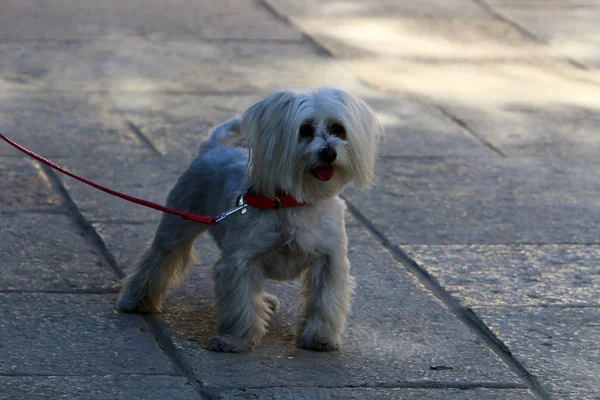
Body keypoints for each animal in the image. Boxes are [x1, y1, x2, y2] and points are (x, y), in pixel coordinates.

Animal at [117, 88, 382, 354]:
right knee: (157, 261)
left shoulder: (329, 261)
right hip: (177, 225)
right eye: (304, 129)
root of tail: (212, 147)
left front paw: (320, 337)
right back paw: (136, 300)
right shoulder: (240, 262)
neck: (294, 202)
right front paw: (236, 340)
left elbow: (324, 302)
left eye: (337, 128)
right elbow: (241, 303)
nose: (329, 153)